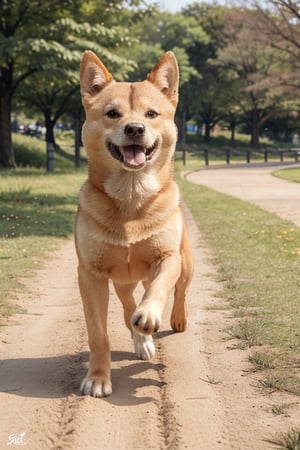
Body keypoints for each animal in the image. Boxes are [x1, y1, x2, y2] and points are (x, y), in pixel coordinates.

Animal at [75, 51, 195, 398]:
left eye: (151, 113)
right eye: (112, 113)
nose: (134, 128)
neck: (131, 196)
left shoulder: (167, 257)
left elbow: (159, 288)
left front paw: (151, 314)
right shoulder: (90, 274)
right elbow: (98, 334)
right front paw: (98, 377)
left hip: (187, 263)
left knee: (180, 291)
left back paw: (173, 320)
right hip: (122, 281)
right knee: (129, 307)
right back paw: (140, 337)